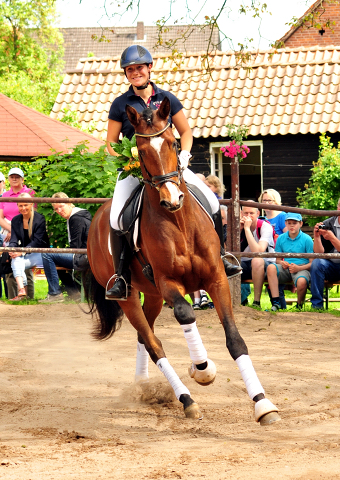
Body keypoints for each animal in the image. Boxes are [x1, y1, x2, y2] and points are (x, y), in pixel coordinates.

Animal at [86, 96, 280, 424]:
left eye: (173, 143)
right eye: (139, 151)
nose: (172, 199)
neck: (179, 224)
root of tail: (98, 215)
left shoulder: (216, 279)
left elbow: (235, 339)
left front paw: (263, 404)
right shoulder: (168, 283)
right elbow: (186, 314)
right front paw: (202, 369)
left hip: (151, 295)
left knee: (145, 337)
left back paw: (144, 386)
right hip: (129, 295)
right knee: (153, 343)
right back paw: (186, 399)